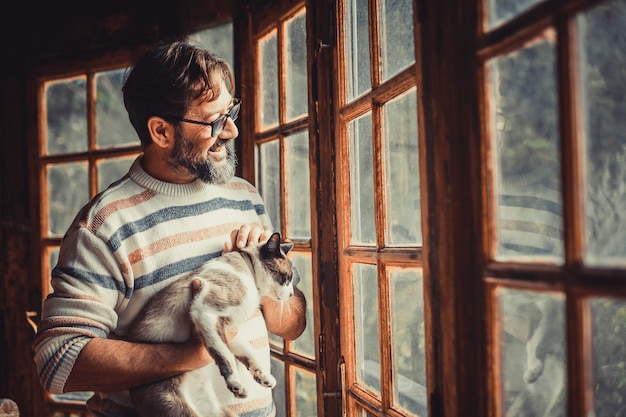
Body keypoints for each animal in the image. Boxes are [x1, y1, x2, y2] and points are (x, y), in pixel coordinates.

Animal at [126, 232, 294, 414]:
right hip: (182, 409)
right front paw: (236, 385)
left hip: (224, 412)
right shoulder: (206, 312)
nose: (291, 294)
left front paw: (264, 378)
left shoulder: (228, 329)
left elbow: (248, 352)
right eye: (288, 278)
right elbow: (225, 354)